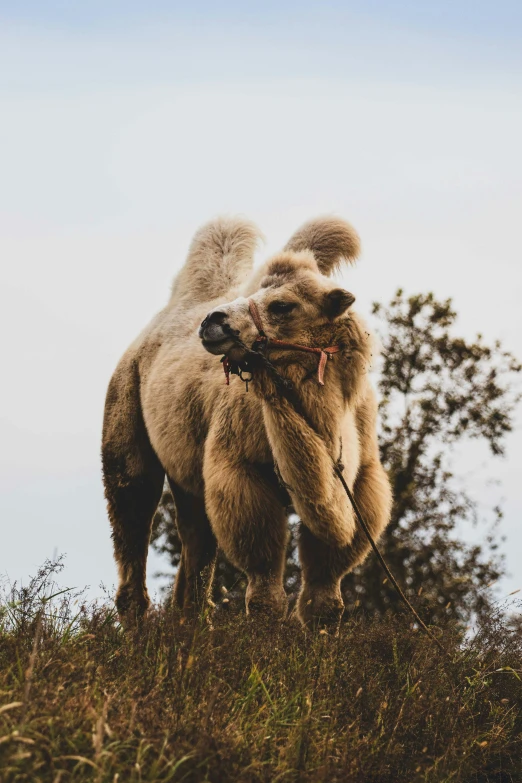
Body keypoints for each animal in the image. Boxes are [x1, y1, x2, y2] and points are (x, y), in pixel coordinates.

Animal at [102, 217, 390, 628]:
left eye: (283, 305)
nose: (213, 321)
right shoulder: (241, 469)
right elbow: (265, 582)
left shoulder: (362, 478)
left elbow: (325, 592)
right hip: (124, 404)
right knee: (132, 503)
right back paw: (137, 630)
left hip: (188, 471)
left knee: (195, 538)